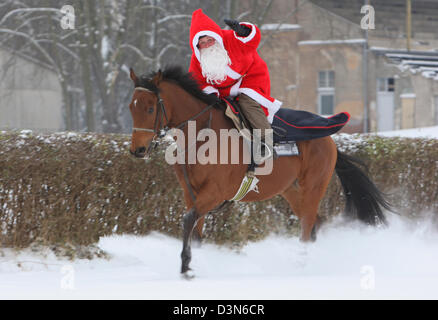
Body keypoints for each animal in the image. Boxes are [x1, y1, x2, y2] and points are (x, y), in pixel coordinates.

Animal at [127, 65, 390, 278]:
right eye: (131, 107)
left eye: (150, 109)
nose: (137, 150)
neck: (202, 135)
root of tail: (329, 139)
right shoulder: (190, 193)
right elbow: (195, 228)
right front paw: (194, 262)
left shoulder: (214, 192)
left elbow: (188, 219)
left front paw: (185, 265)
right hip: (291, 190)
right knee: (315, 222)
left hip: (313, 185)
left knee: (307, 225)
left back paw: (301, 263)